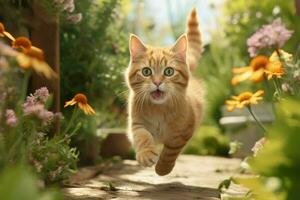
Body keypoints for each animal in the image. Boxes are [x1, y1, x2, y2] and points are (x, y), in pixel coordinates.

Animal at [124, 9, 204, 175]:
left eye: (168, 71)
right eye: (146, 71)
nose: (157, 82)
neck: (159, 110)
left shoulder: (184, 132)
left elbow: (171, 151)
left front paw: (163, 168)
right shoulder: (136, 123)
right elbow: (142, 136)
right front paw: (146, 153)